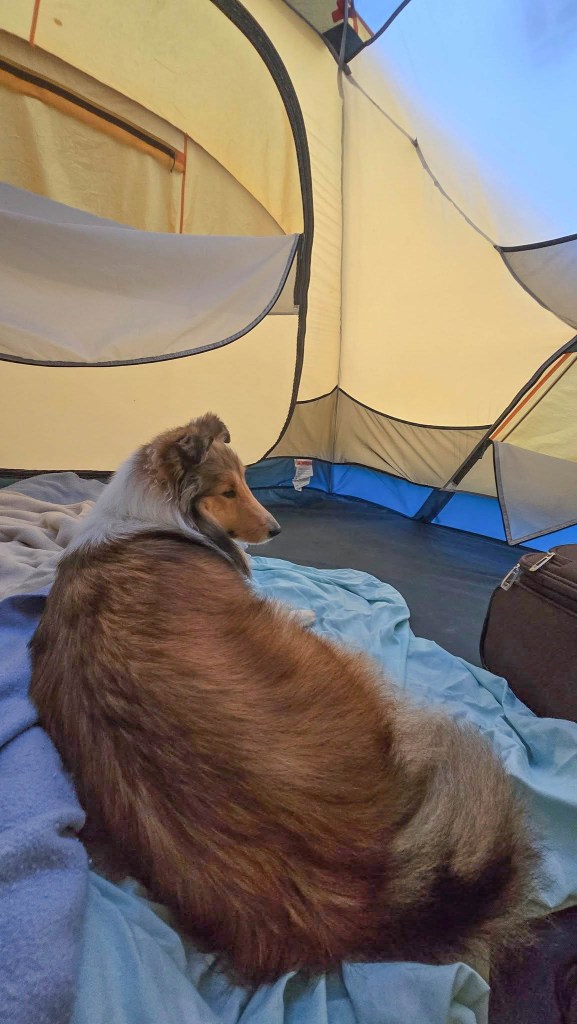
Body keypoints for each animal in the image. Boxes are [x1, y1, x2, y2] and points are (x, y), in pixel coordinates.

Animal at [29, 413, 537, 986]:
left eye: (246, 480)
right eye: (226, 490)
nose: (275, 530)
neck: (152, 513)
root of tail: (354, 895)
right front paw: (303, 606)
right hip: (334, 666)